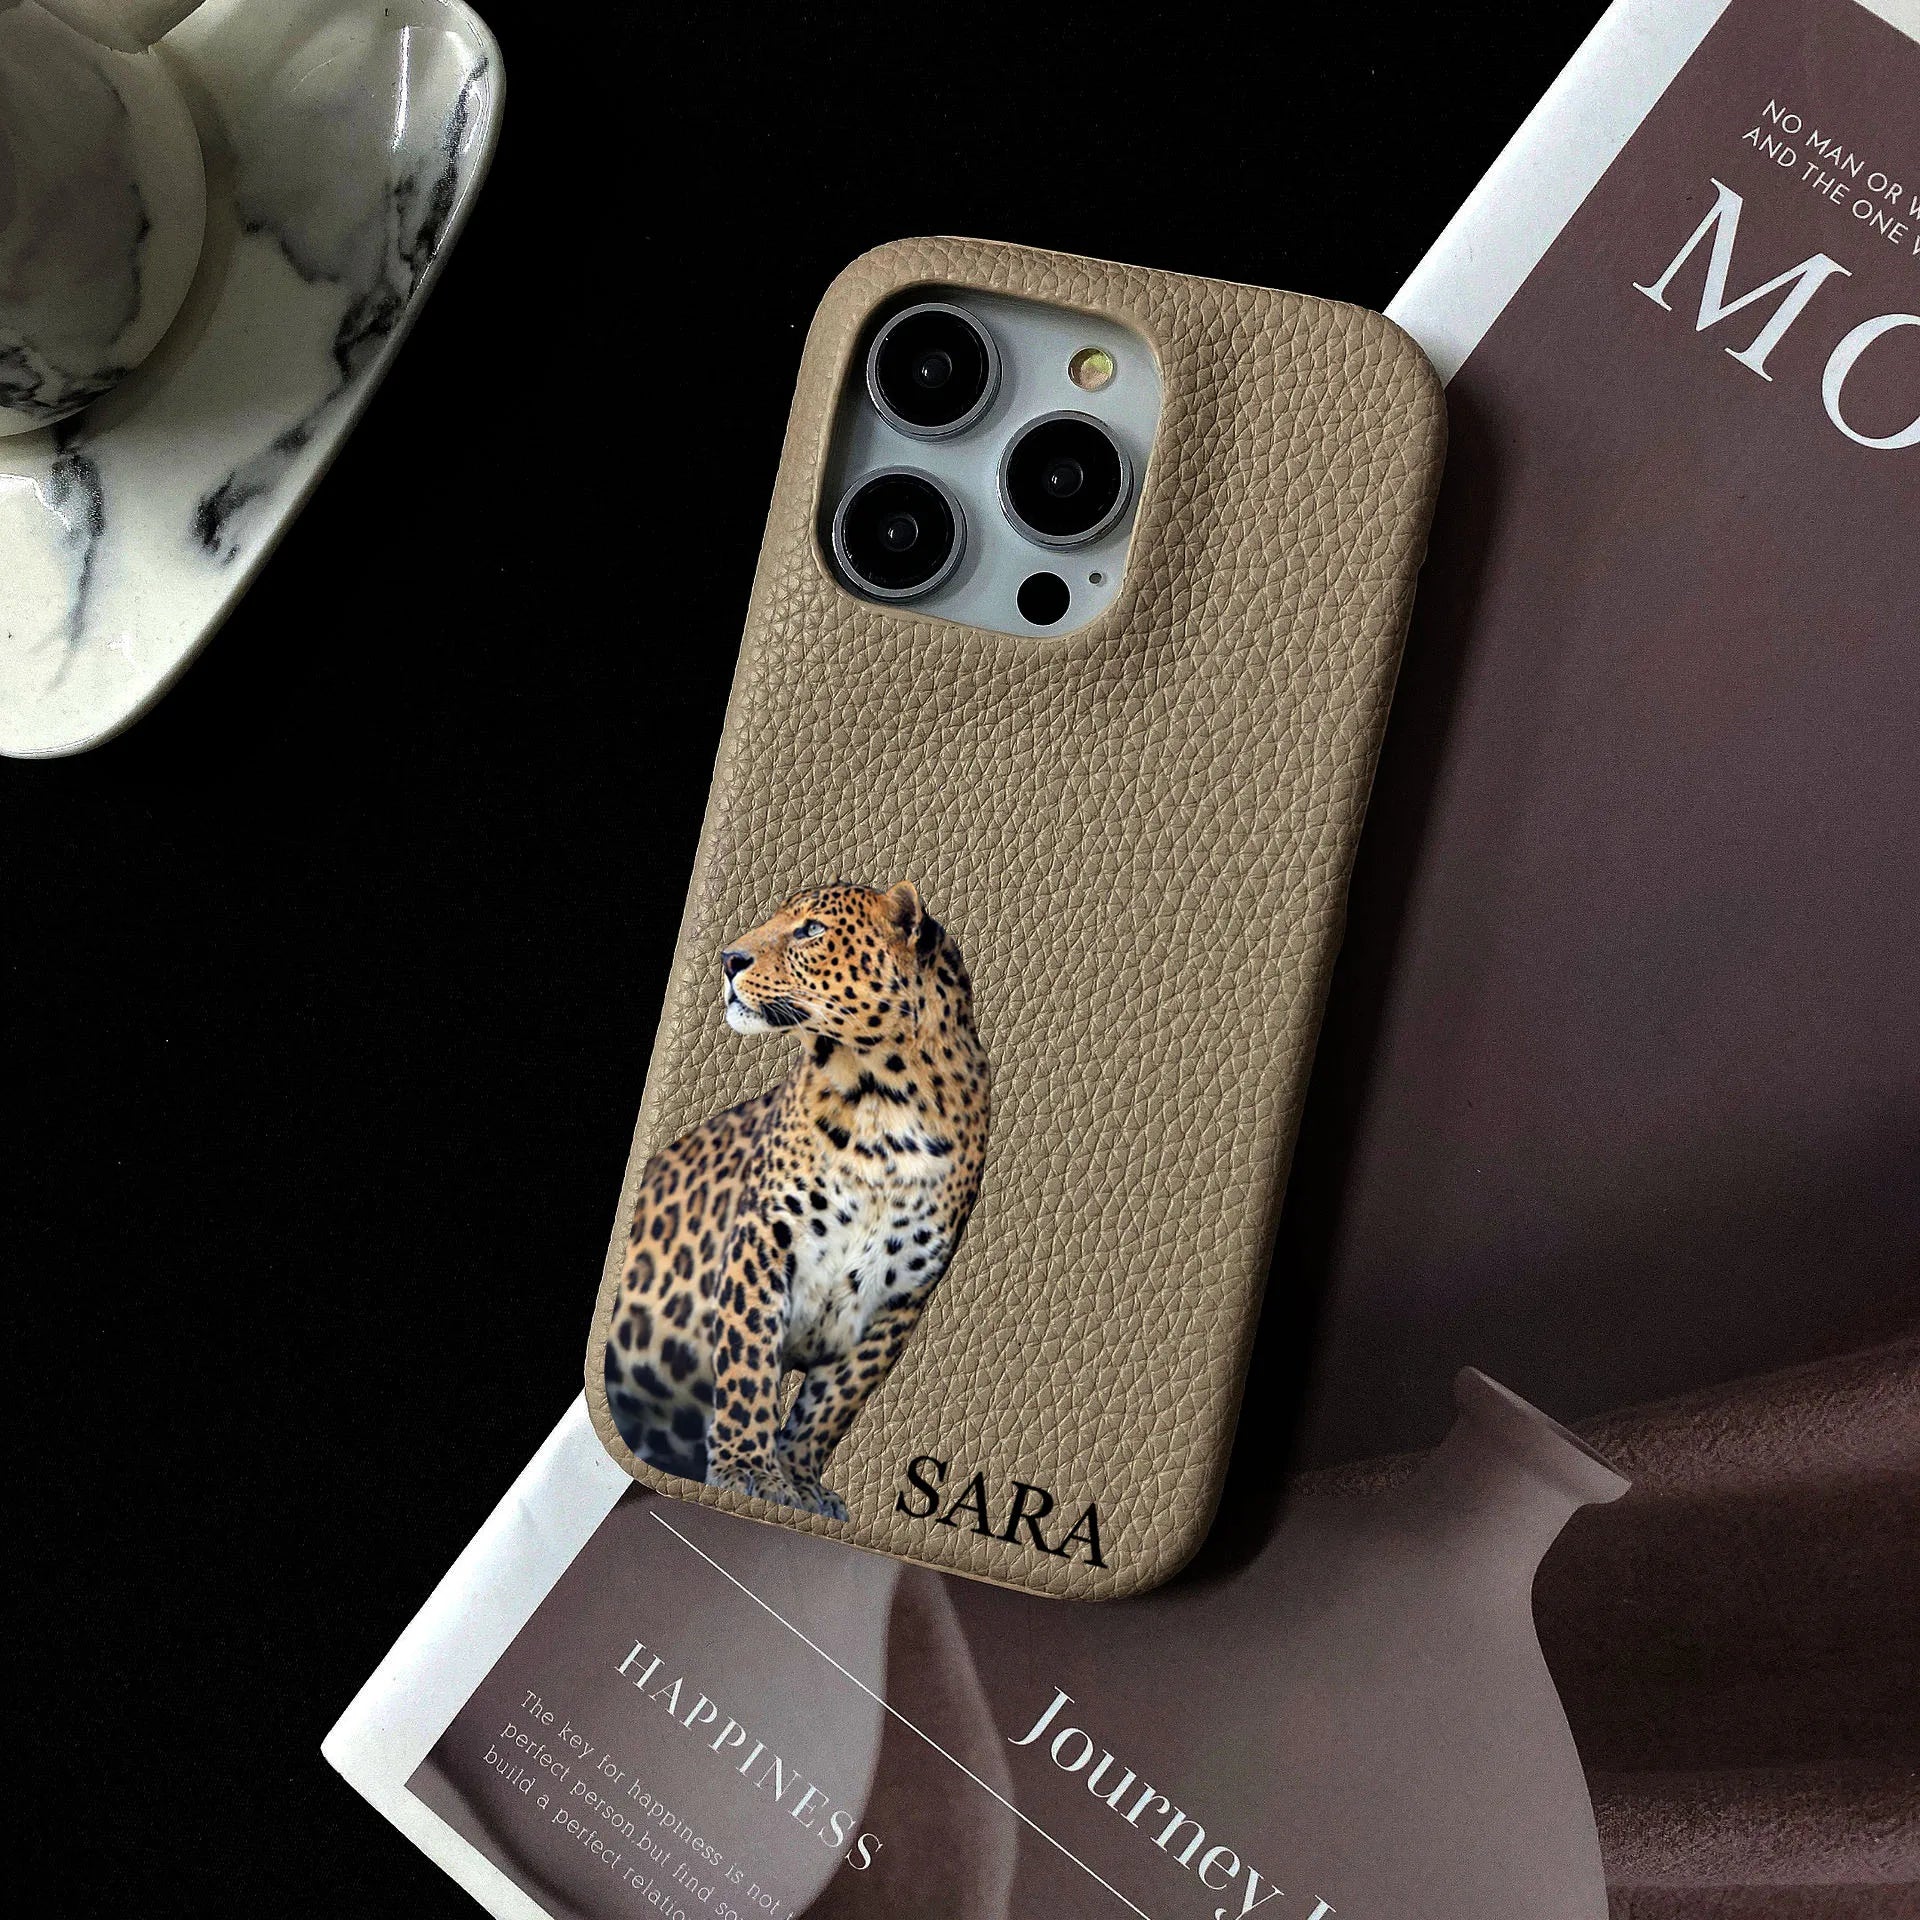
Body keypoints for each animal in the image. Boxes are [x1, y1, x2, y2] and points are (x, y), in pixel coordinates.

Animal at [603, 881, 990, 1521]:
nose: (728, 959)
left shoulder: (902, 1294)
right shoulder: (764, 1240)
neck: (885, 1103)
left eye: (811, 930)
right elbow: (748, 1364)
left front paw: (799, 1479)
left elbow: (834, 1400)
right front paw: (747, 1470)